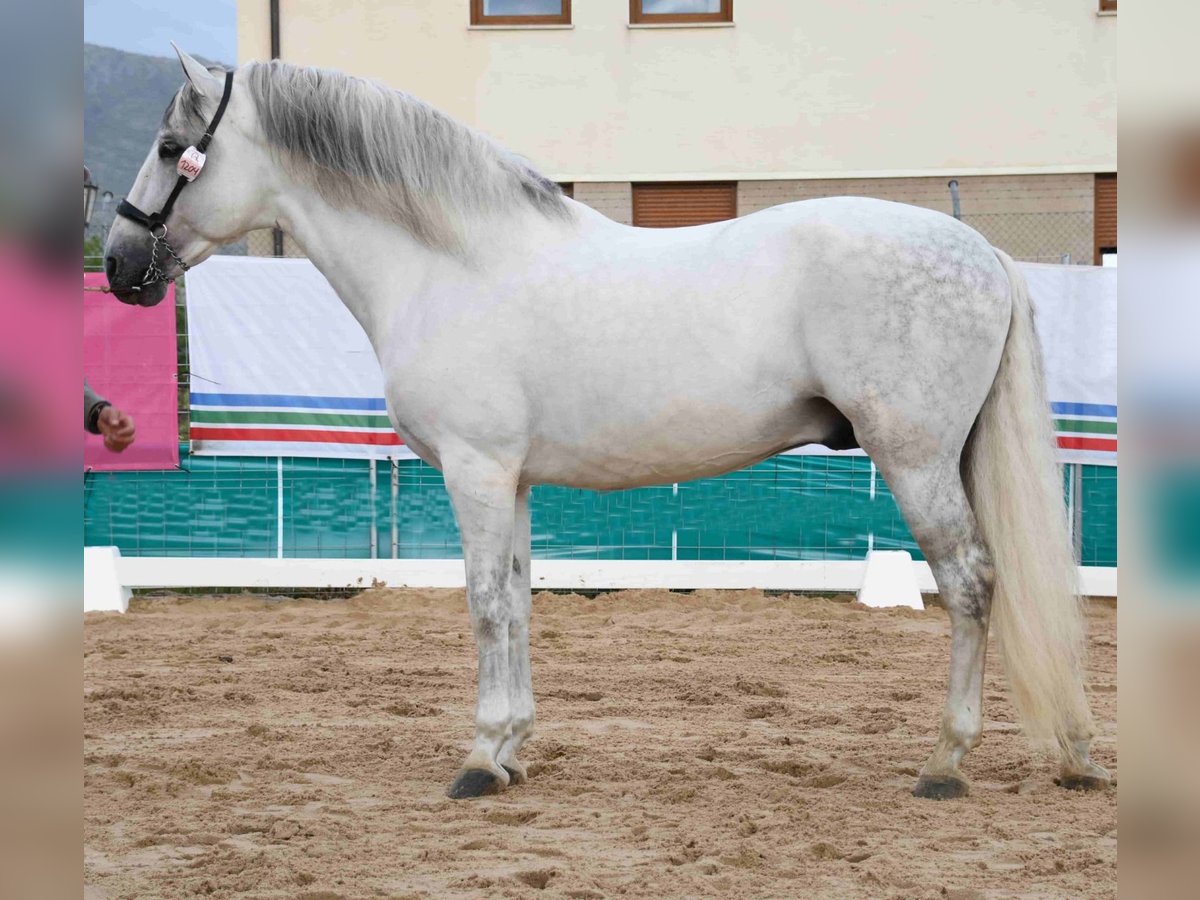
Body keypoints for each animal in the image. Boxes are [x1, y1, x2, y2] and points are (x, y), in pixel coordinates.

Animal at [108, 49, 1108, 801]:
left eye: (171, 146)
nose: (119, 264)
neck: (452, 263)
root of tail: (982, 250)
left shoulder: (474, 470)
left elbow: (483, 604)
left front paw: (478, 759)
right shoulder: (509, 479)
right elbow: (516, 600)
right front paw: (512, 748)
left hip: (914, 458)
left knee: (972, 583)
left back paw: (945, 762)